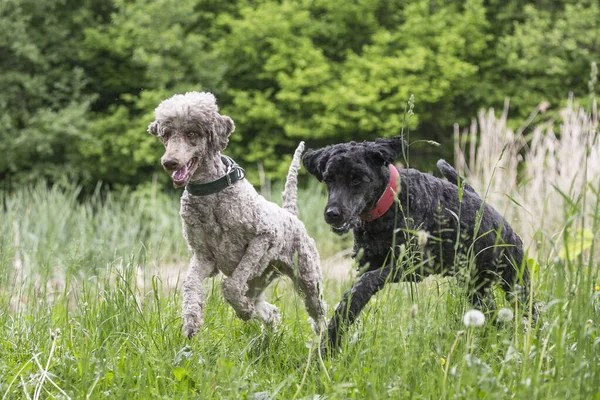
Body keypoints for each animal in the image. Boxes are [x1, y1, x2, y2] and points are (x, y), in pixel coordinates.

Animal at [304, 136, 536, 348]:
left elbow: (367, 282)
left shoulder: (415, 263)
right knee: (492, 312)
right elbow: (351, 299)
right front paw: (329, 343)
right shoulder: (367, 264)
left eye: (356, 179)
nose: (332, 214)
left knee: (532, 310)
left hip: (515, 281)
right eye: (329, 179)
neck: (390, 203)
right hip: (475, 286)